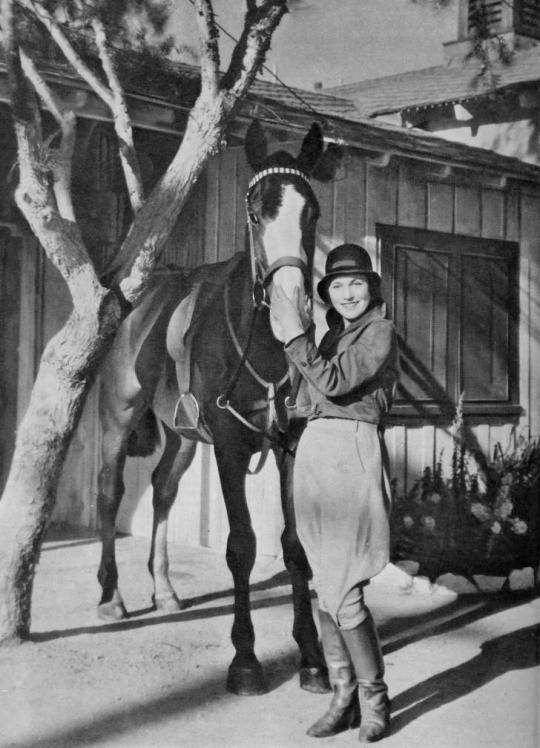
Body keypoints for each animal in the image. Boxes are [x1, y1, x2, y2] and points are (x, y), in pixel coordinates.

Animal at [96, 120, 334, 696]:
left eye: (312, 211)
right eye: (255, 213)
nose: (291, 306)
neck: (264, 345)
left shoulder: (289, 445)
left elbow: (294, 546)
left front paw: (312, 656)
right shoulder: (228, 446)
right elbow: (242, 545)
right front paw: (245, 660)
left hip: (183, 438)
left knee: (161, 491)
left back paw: (163, 589)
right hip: (118, 419)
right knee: (110, 494)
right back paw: (112, 596)